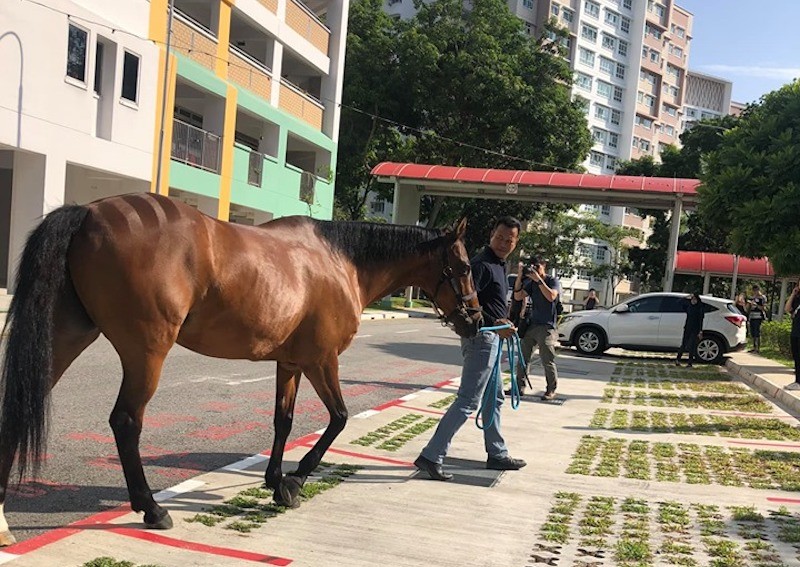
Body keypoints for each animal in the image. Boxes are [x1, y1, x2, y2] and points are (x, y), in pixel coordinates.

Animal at [0, 192, 482, 545]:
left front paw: (273, 479)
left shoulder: (289, 362)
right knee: (126, 421)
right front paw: (294, 481)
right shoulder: (321, 360)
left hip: (65, 337)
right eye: (463, 266)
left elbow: (283, 421)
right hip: (146, 351)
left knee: (17, 412)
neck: (339, 261)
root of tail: (88, 213)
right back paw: (152, 508)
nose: (477, 320)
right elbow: (339, 418)